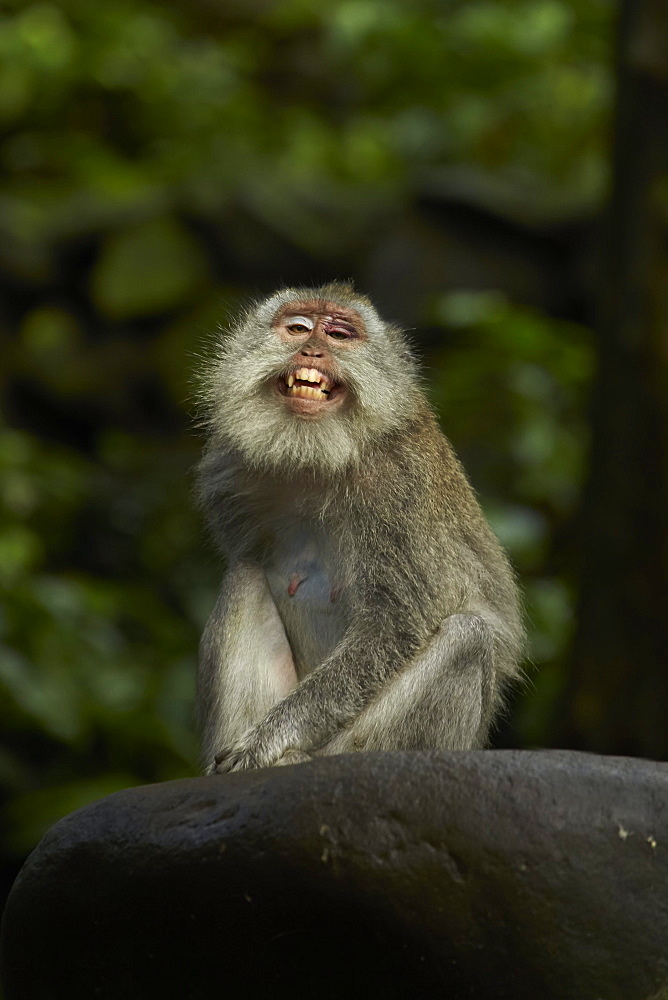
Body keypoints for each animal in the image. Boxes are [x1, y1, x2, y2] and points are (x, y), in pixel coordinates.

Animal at [193, 282, 520, 772]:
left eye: (339, 334)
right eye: (298, 328)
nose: (312, 350)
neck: (317, 459)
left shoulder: (396, 488)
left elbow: (392, 627)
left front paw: (264, 741)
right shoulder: (228, 469)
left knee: (469, 637)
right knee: (245, 575)